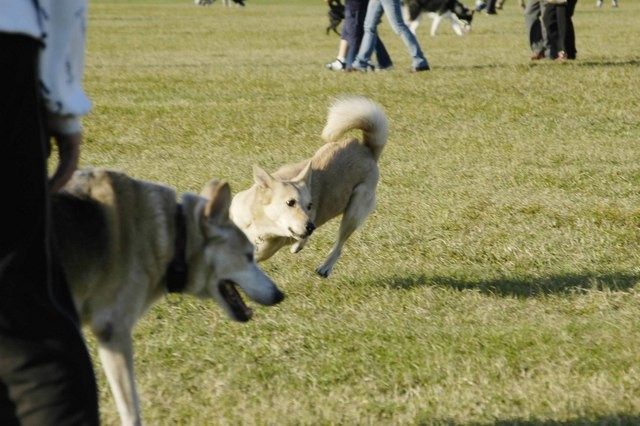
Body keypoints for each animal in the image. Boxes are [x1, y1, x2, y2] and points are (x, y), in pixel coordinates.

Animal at [228, 95, 388, 276]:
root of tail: (366, 149)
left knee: (339, 243)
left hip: (354, 211)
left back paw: (325, 267)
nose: (311, 226)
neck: (258, 223)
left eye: (309, 205)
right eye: (290, 202)